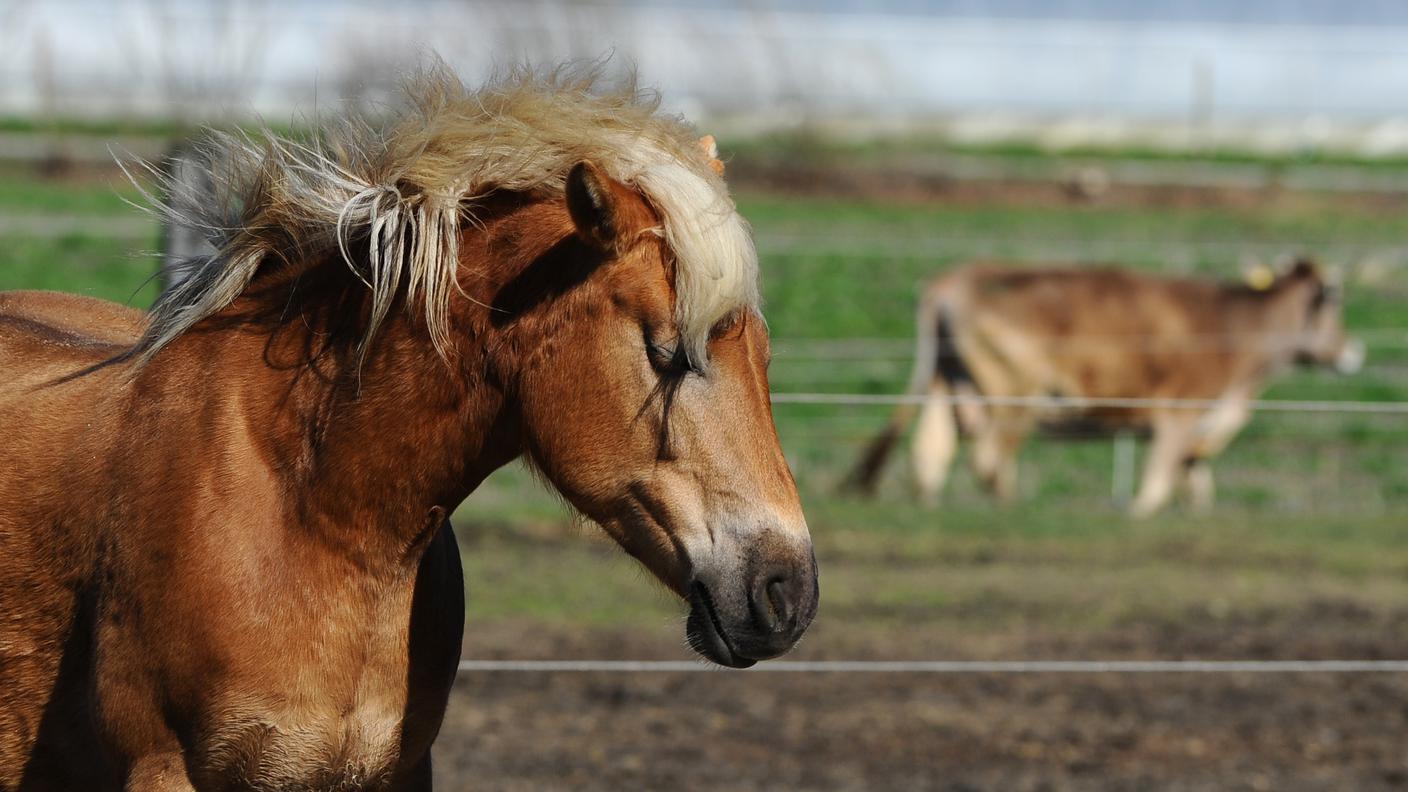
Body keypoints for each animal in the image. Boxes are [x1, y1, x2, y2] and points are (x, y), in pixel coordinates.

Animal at [844, 259, 1362, 515]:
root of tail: (953, 281)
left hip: (948, 383)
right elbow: (1155, 488)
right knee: (989, 459)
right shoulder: (1178, 415)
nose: (1354, 351)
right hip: (1014, 394)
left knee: (931, 452)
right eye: (1334, 304)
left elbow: (1196, 487)